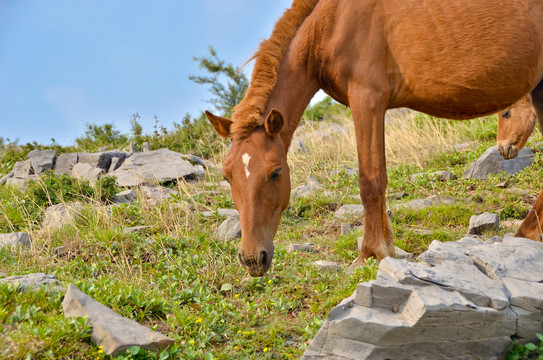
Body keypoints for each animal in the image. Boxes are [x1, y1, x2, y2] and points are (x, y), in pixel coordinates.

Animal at [205, 0, 543, 278]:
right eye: (228, 176)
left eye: (275, 173)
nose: (252, 259)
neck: (332, 24)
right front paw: (386, 249)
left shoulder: (367, 100)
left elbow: (370, 180)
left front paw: (370, 253)